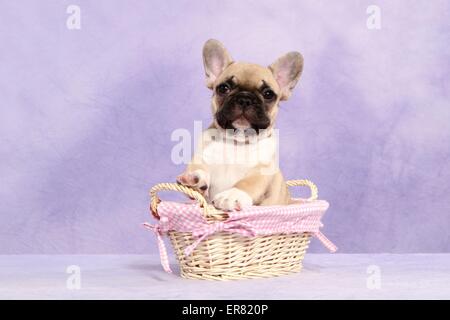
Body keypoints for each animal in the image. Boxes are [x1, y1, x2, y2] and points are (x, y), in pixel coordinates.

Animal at [176, 38, 302, 211]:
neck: (236, 143)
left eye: (268, 94)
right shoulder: (202, 157)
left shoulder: (262, 171)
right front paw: (194, 177)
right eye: (223, 88)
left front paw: (232, 195)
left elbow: (248, 182)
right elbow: (197, 168)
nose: (245, 98)